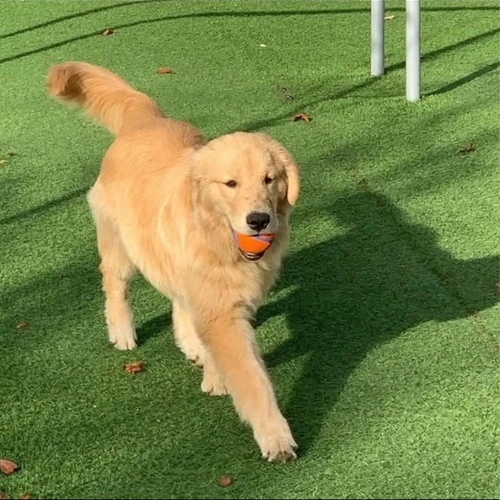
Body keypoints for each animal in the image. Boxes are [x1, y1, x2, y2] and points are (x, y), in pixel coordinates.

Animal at [47, 61, 300, 462]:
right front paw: (275, 437)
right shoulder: (222, 313)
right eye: (230, 184)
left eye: (269, 179)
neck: (218, 239)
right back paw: (122, 332)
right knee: (115, 285)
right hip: (121, 246)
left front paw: (212, 376)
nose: (258, 220)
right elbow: (253, 381)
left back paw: (191, 346)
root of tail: (145, 119)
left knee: (178, 302)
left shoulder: (221, 300)